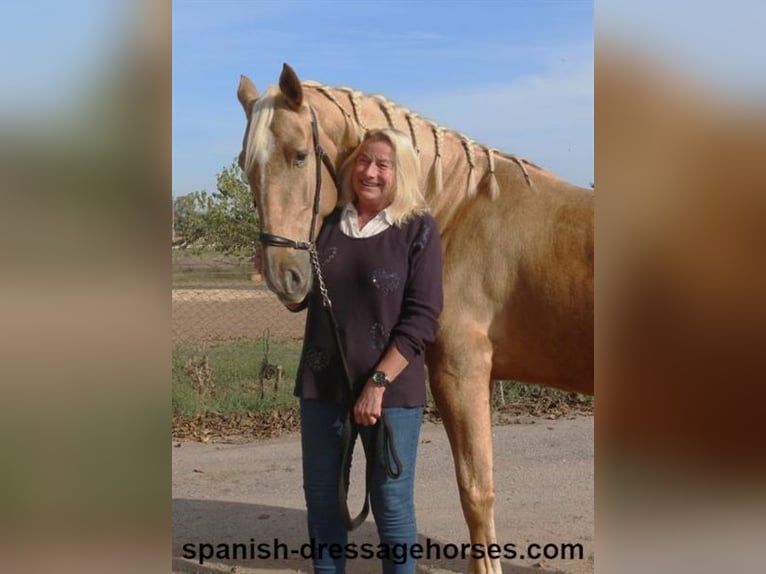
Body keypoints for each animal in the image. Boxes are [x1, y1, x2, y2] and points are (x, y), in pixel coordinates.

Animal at [237, 64, 596, 574]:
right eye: (245, 164)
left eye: (299, 156)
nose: (284, 277)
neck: (458, 208)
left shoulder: (460, 372)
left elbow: (476, 490)